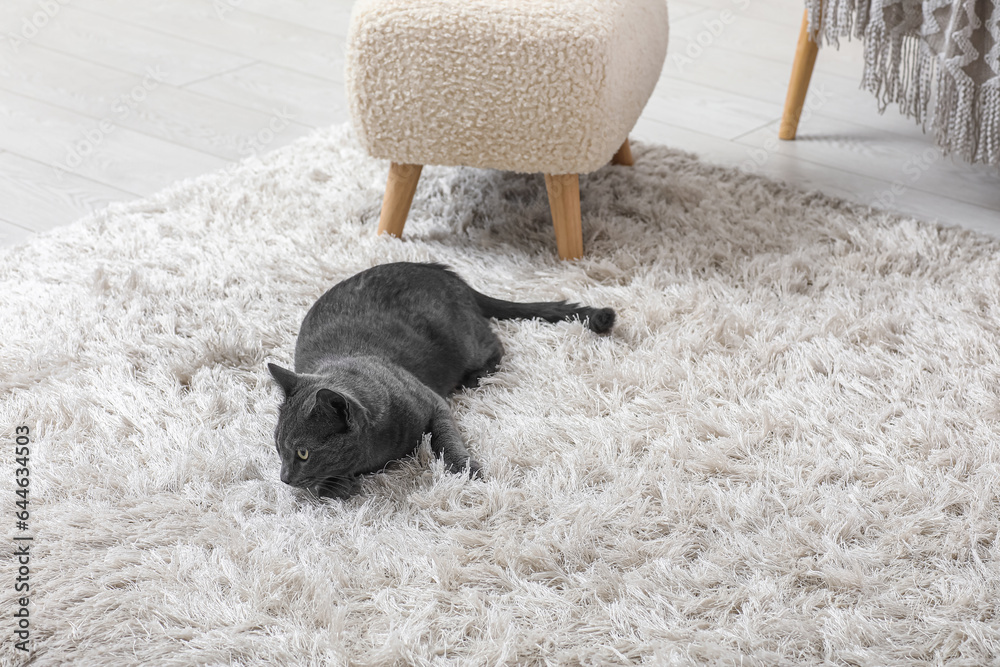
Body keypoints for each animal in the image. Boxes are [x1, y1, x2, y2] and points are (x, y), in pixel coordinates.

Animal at [270, 264, 612, 498]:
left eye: (303, 453)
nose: (284, 477)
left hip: (465, 342)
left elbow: (445, 439)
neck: (374, 454)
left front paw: (467, 470)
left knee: (495, 344)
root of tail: (444, 272)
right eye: (278, 446)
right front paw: (337, 486)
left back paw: (476, 376)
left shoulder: (433, 403)